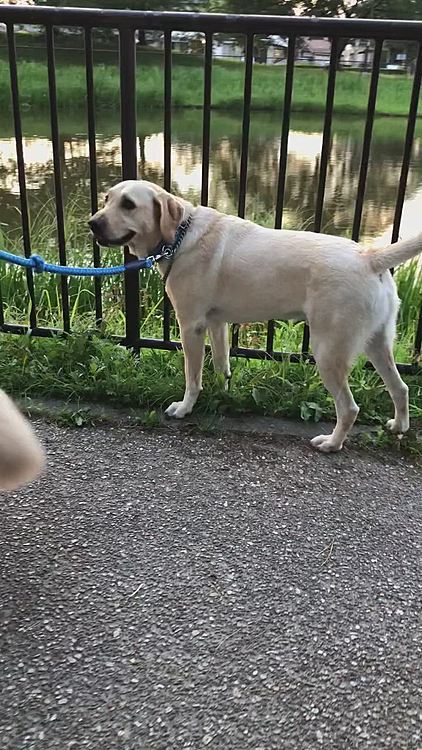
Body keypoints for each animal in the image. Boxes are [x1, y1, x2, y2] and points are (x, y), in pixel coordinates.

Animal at [87, 179, 420, 456]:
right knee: (400, 388)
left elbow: (192, 377)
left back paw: (332, 443)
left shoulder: (191, 326)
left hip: (329, 352)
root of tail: (369, 257)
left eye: (129, 204)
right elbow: (222, 365)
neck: (179, 236)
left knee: (349, 408)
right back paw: (399, 426)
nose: (92, 223)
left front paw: (185, 408)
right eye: (107, 198)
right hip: (377, 343)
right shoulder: (217, 324)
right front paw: (223, 394)